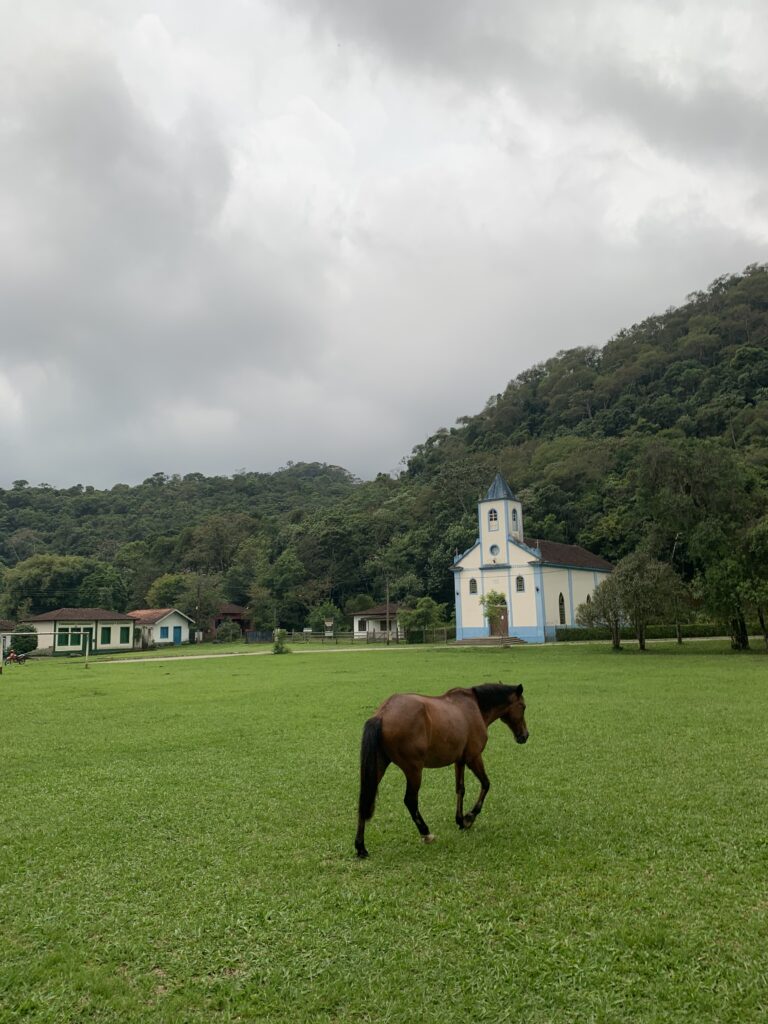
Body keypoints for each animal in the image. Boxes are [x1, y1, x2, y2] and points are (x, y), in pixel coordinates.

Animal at [356, 688, 528, 856]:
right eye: (523, 706)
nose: (525, 736)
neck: (475, 706)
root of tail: (383, 714)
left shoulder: (460, 761)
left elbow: (460, 789)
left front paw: (460, 820)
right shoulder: (473, 758)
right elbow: (486, 784)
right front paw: (469, 818)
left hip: (379, 766)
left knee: (364, 799)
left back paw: (361, 847)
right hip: (414, 770)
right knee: (410, 801)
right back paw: (426, 833)